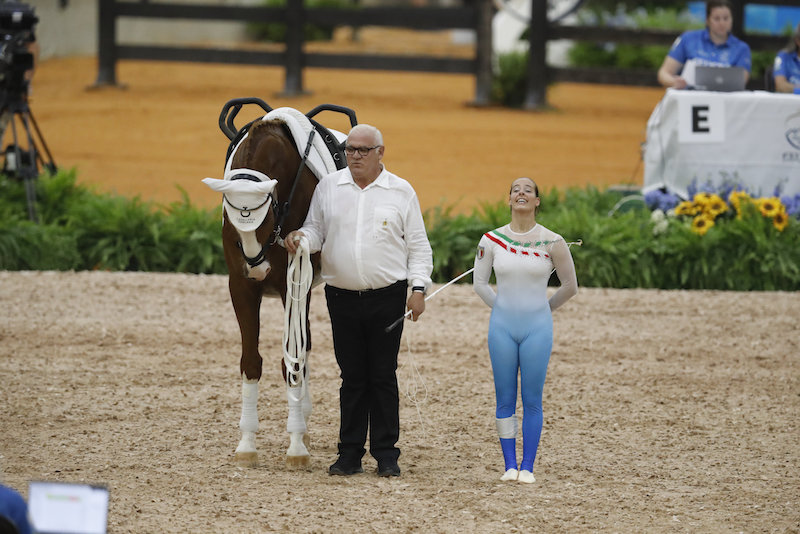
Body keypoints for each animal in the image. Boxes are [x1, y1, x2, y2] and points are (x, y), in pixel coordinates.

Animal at [205, 100, 358, 468]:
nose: (255, 264)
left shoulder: (294, 283)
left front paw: (296, 445)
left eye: (264, 218)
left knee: (302, 348)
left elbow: (293, 361)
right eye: (231, 220)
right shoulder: (241, 286)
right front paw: (247, 443)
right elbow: (251, 361)